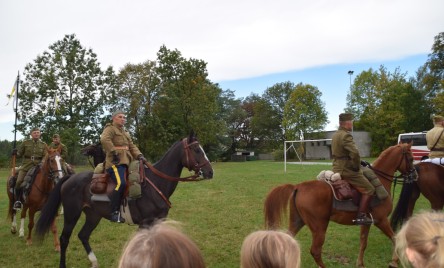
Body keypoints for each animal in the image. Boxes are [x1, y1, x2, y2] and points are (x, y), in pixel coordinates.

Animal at [36, 133, 213, 268]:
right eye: (196, 149)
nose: (210, 172)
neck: (156, 182)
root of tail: (70, 178)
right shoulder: (145, 222)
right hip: (72, 214)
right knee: (64, 239)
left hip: (93, 215)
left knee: (83, 235)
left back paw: (94, 262)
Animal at [264, 144, 416, 268]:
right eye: (411, 158)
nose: (415, 175)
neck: (380, 179)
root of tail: (298, 187)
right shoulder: (381, 220)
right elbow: (396, 239)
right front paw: (394, 261)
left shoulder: (366, 222)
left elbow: (363, 243)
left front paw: (360, 264)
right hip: (319, 227)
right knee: (315, 251)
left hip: (297, 222)